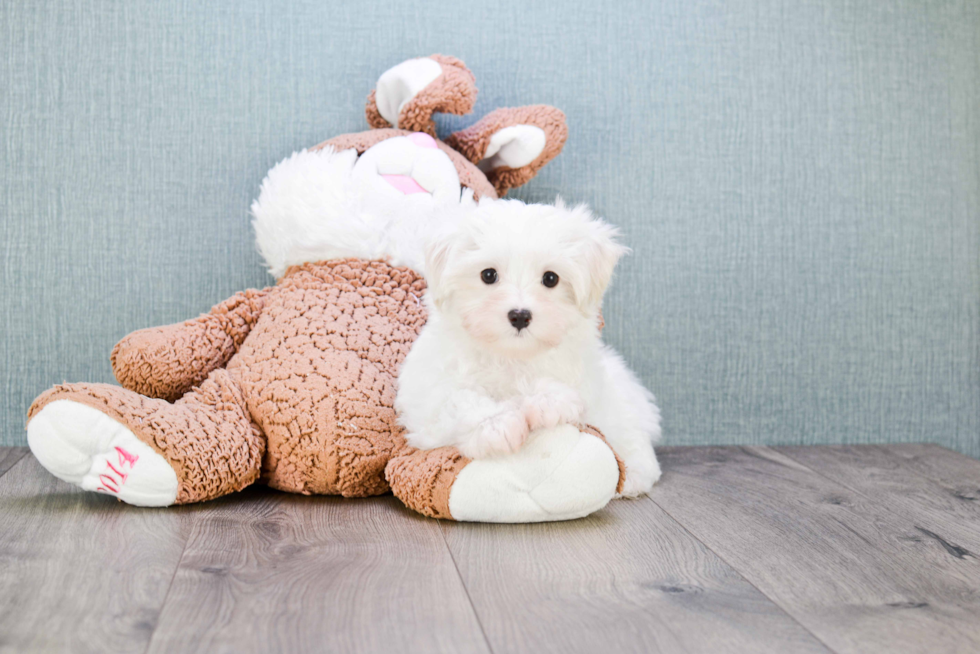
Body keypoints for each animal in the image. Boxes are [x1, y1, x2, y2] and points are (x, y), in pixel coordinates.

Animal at [394, 199, 664, 498]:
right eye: (488, 275)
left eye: (551, 278)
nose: (520, 316)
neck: (512, 356)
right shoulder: (426, 399)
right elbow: (456, 399)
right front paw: (496, 424)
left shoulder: (587, 380)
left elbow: (570, 394)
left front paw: (546, 402)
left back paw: (635, 474)